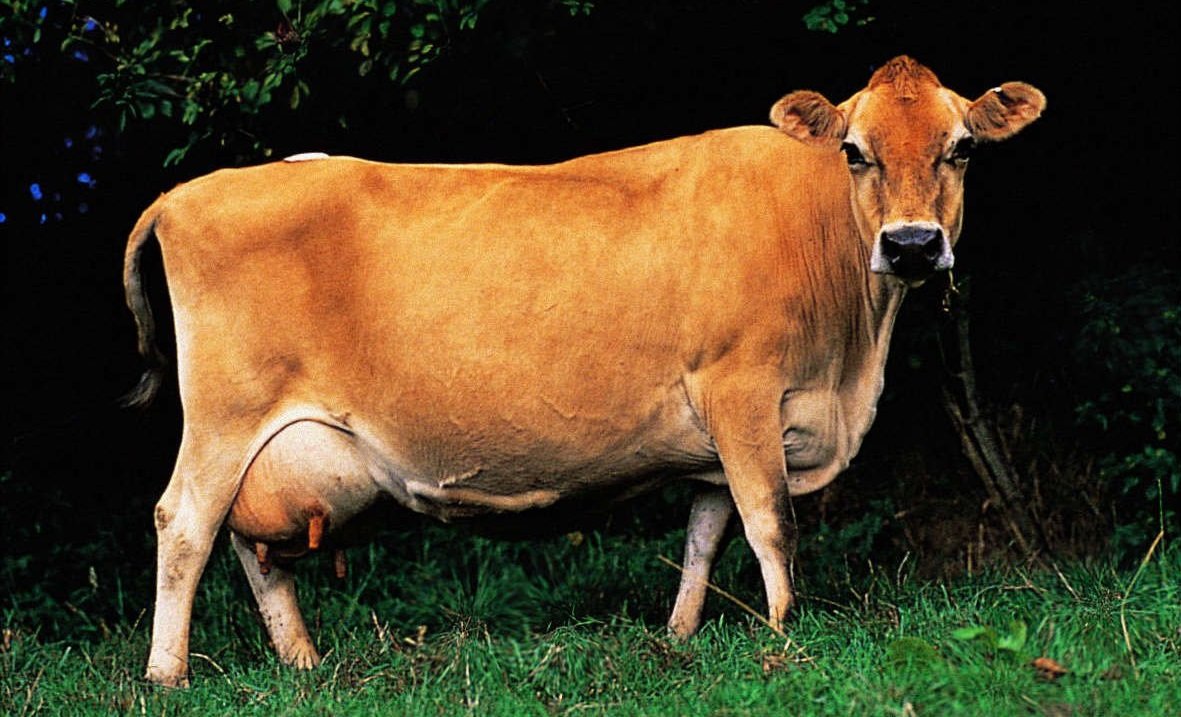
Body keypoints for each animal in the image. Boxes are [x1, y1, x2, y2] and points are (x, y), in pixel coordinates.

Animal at [124, 56, 1044, 686]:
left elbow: (704, 534)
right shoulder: (740, 387)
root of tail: (187, 192)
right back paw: (166, 674)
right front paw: (788, 634)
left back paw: (303, 661)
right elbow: (770, 522)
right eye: (853, 151)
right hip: (224, 413)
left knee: (251, 544)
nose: (912, 245)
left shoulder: (717, 434)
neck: (851, 355)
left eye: (962, 148)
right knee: (184, 521)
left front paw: (678, 637)